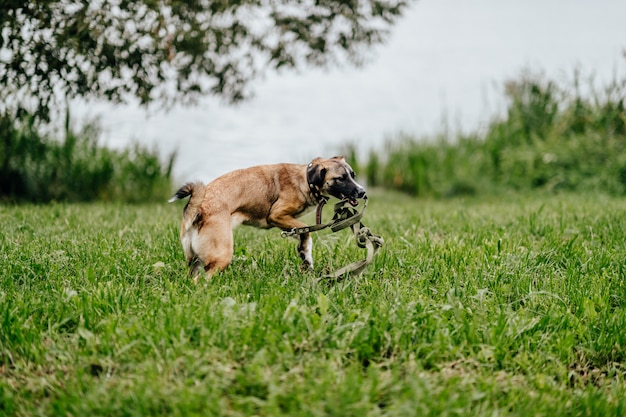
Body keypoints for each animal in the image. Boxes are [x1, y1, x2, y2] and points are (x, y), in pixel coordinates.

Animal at [169, 156, 366, 282]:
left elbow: (303, 234)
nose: (363, 192)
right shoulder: (277, 215)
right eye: (341, 178)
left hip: (195, 260)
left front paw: (305, 257)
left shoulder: (286, 223)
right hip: (222, 254)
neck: (305, 179)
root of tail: (199, 207)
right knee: (202, 280)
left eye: (353, 175)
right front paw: (306, 254)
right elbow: (305, 229)